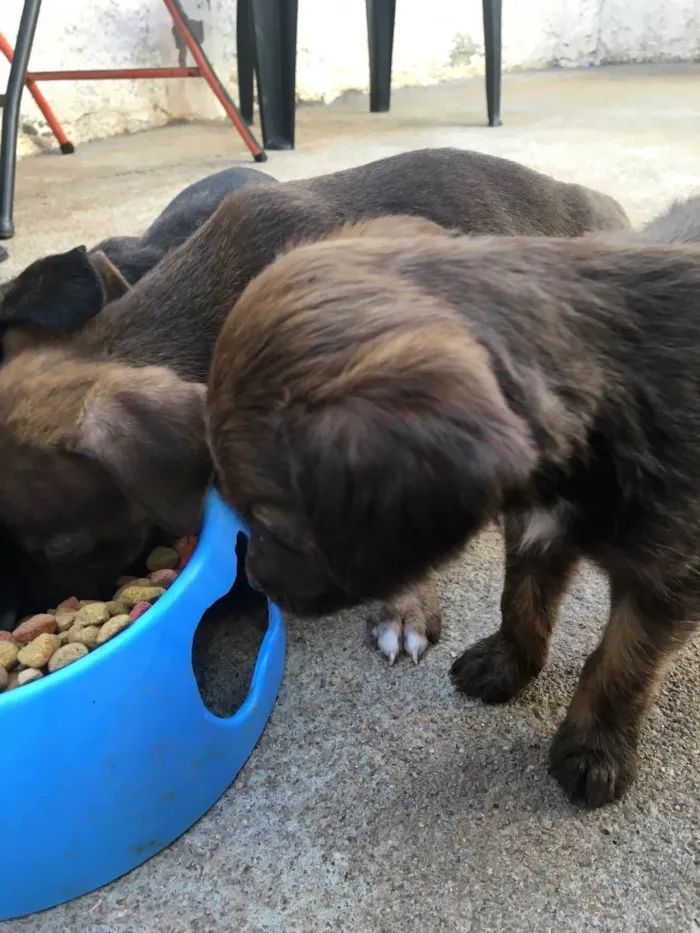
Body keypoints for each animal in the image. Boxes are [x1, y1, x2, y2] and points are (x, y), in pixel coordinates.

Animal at [205, 218, 700, 808]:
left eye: (272, 518)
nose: (256, 583)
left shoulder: (667, 579)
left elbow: (622, 664)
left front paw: (594, 749)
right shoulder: (534, 529)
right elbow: (521, 600)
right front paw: (506, 664)